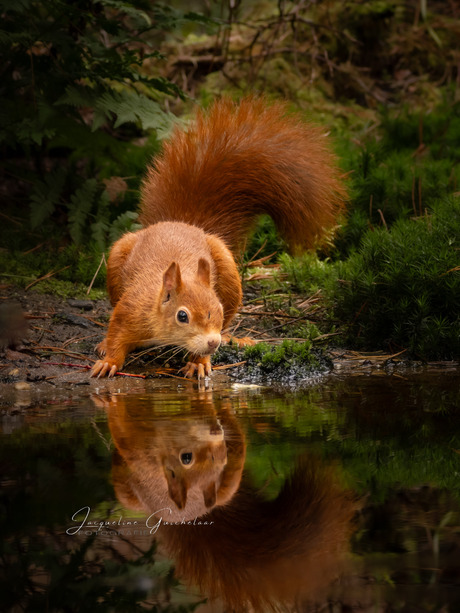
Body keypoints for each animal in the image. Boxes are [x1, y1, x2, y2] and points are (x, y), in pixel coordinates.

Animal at [91, 97, 346, 378]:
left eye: (218, 309)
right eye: (182, 316)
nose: (213, 342)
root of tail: (182, 223)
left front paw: (199, 362)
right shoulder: (129, 309)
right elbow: (117, 336)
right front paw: (109, 359)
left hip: (228, 271)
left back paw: (234, 338)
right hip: (117, 259)